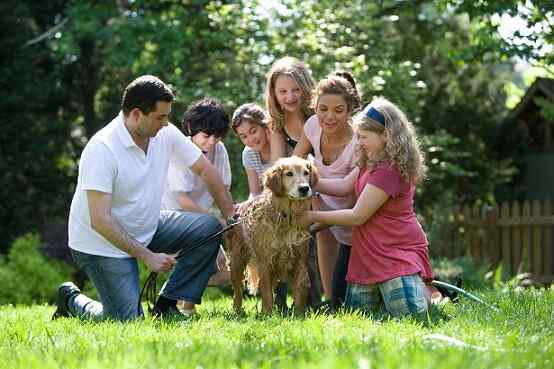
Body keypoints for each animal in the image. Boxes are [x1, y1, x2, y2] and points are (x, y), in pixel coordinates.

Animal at [225, 155, 320, 314]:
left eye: (306, 173)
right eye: (289, 174)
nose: (304, 188)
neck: (285, 217)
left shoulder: (300, 259)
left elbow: (299, 290)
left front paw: (299, 314)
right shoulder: (265, 261)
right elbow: (266, 291)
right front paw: (267, 314)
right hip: (237, 261)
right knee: (237, 291)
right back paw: (237, 311)